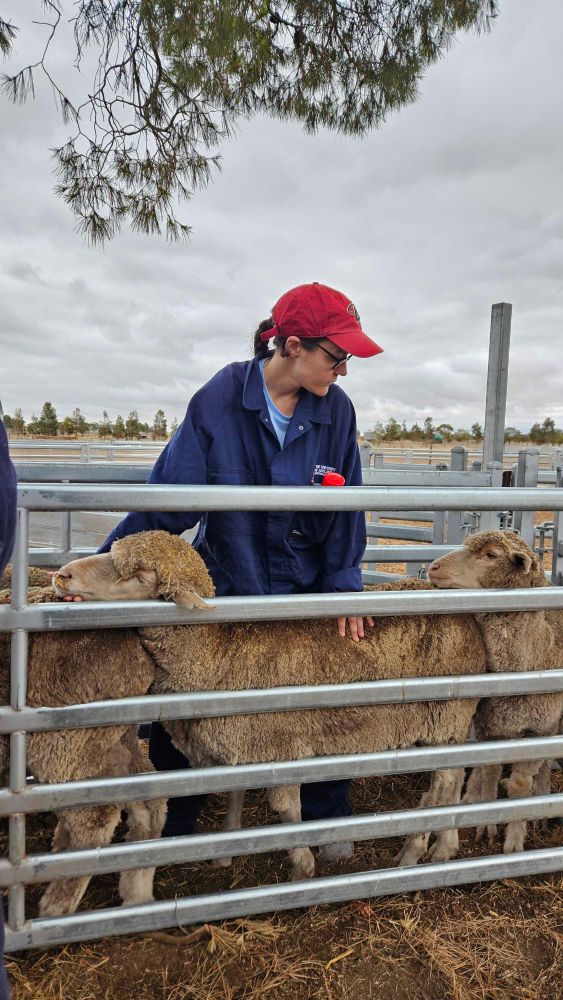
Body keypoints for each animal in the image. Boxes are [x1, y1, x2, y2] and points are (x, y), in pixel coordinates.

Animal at [0, 583, 167, 917]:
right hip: (109, 738)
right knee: (149, 800)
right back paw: (137, 891)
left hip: (62, 741)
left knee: (96, 816)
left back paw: (56, 905)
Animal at [53, 530, 489, 879]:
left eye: (141, 574)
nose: (63, 576)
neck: (216, 651)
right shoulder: (242, 743)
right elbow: (236, 794)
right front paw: (225, 850)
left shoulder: (281, 746)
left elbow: (287, 812)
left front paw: (302, 867)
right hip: (446, 722)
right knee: (451, 778)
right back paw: (443, 844)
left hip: (444, 715)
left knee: (445, 779)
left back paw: (417, 852)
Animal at [427, 530, 563, 854]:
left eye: (491, 555)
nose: (433, 568)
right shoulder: (493, 725)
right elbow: (489, 770)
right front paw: (486, 823)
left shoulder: (539, 729)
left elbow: (521, 785)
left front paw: (514, 841)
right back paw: (471, 795)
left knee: (544, 767)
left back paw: (542, 804)